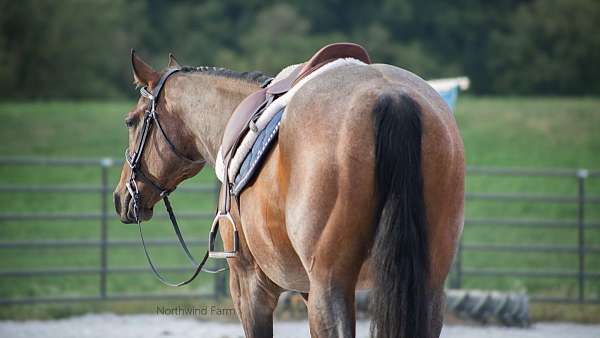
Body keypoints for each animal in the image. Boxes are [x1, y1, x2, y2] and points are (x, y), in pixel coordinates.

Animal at [115, 50, 466, 338]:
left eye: (131, 121)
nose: (121, 198)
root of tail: (391, 97)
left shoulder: (250, 285)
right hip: (425, 286)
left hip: (330, 288)